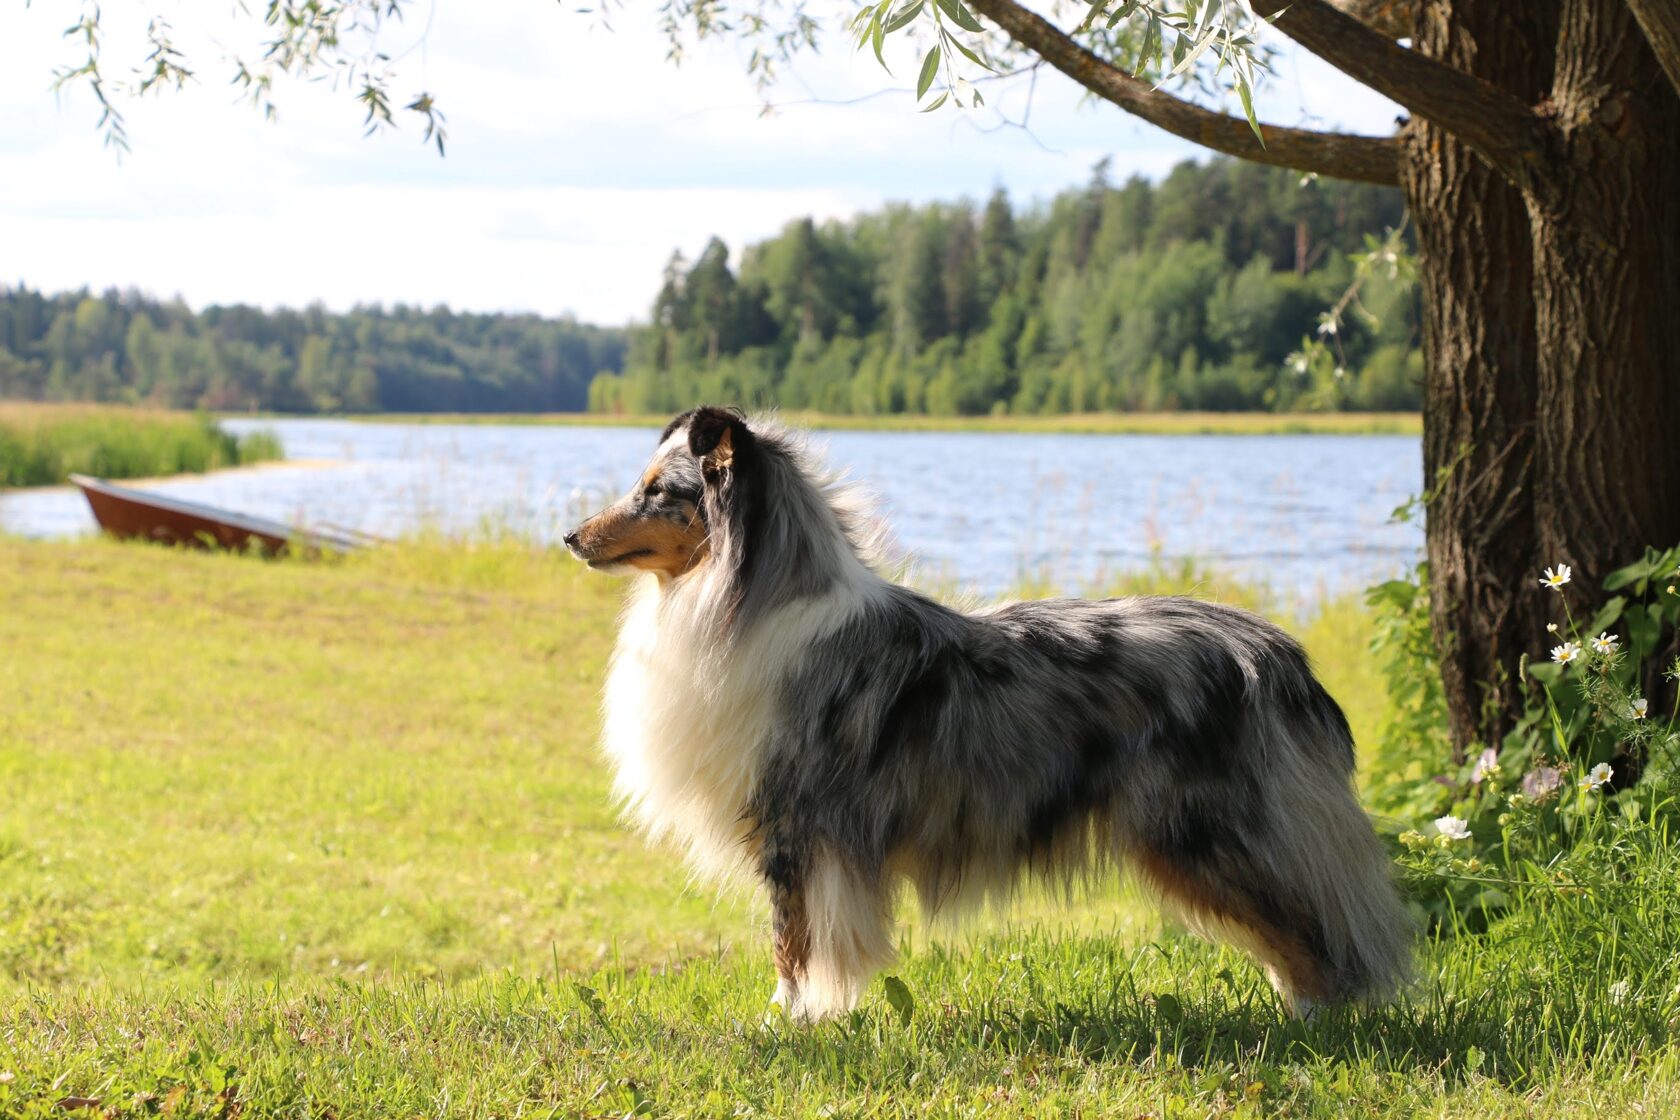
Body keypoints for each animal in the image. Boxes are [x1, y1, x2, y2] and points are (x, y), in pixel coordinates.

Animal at [563, 406, 1410, 1022]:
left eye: (656, 490)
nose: (570, 536)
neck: (739, 598)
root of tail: (1280, 655)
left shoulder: (798, 827)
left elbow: (793, 941)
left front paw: (794, 1024)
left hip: (1213, 835)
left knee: (1319, 932)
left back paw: (1317, 1024)